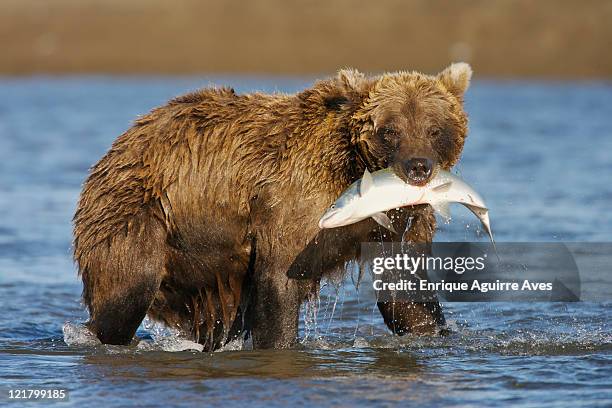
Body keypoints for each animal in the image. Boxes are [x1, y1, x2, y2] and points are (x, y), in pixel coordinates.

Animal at [73, 62, 474, 350]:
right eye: (390, 130)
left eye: (433, 129)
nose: (418, 167)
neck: (358, 173)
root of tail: (118, 146)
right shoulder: (295, 200)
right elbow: (280, 279)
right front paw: (281, 347)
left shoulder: (401, 223)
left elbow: (404, 289)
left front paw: (434, 333)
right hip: (139, 215)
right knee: (126, 292)